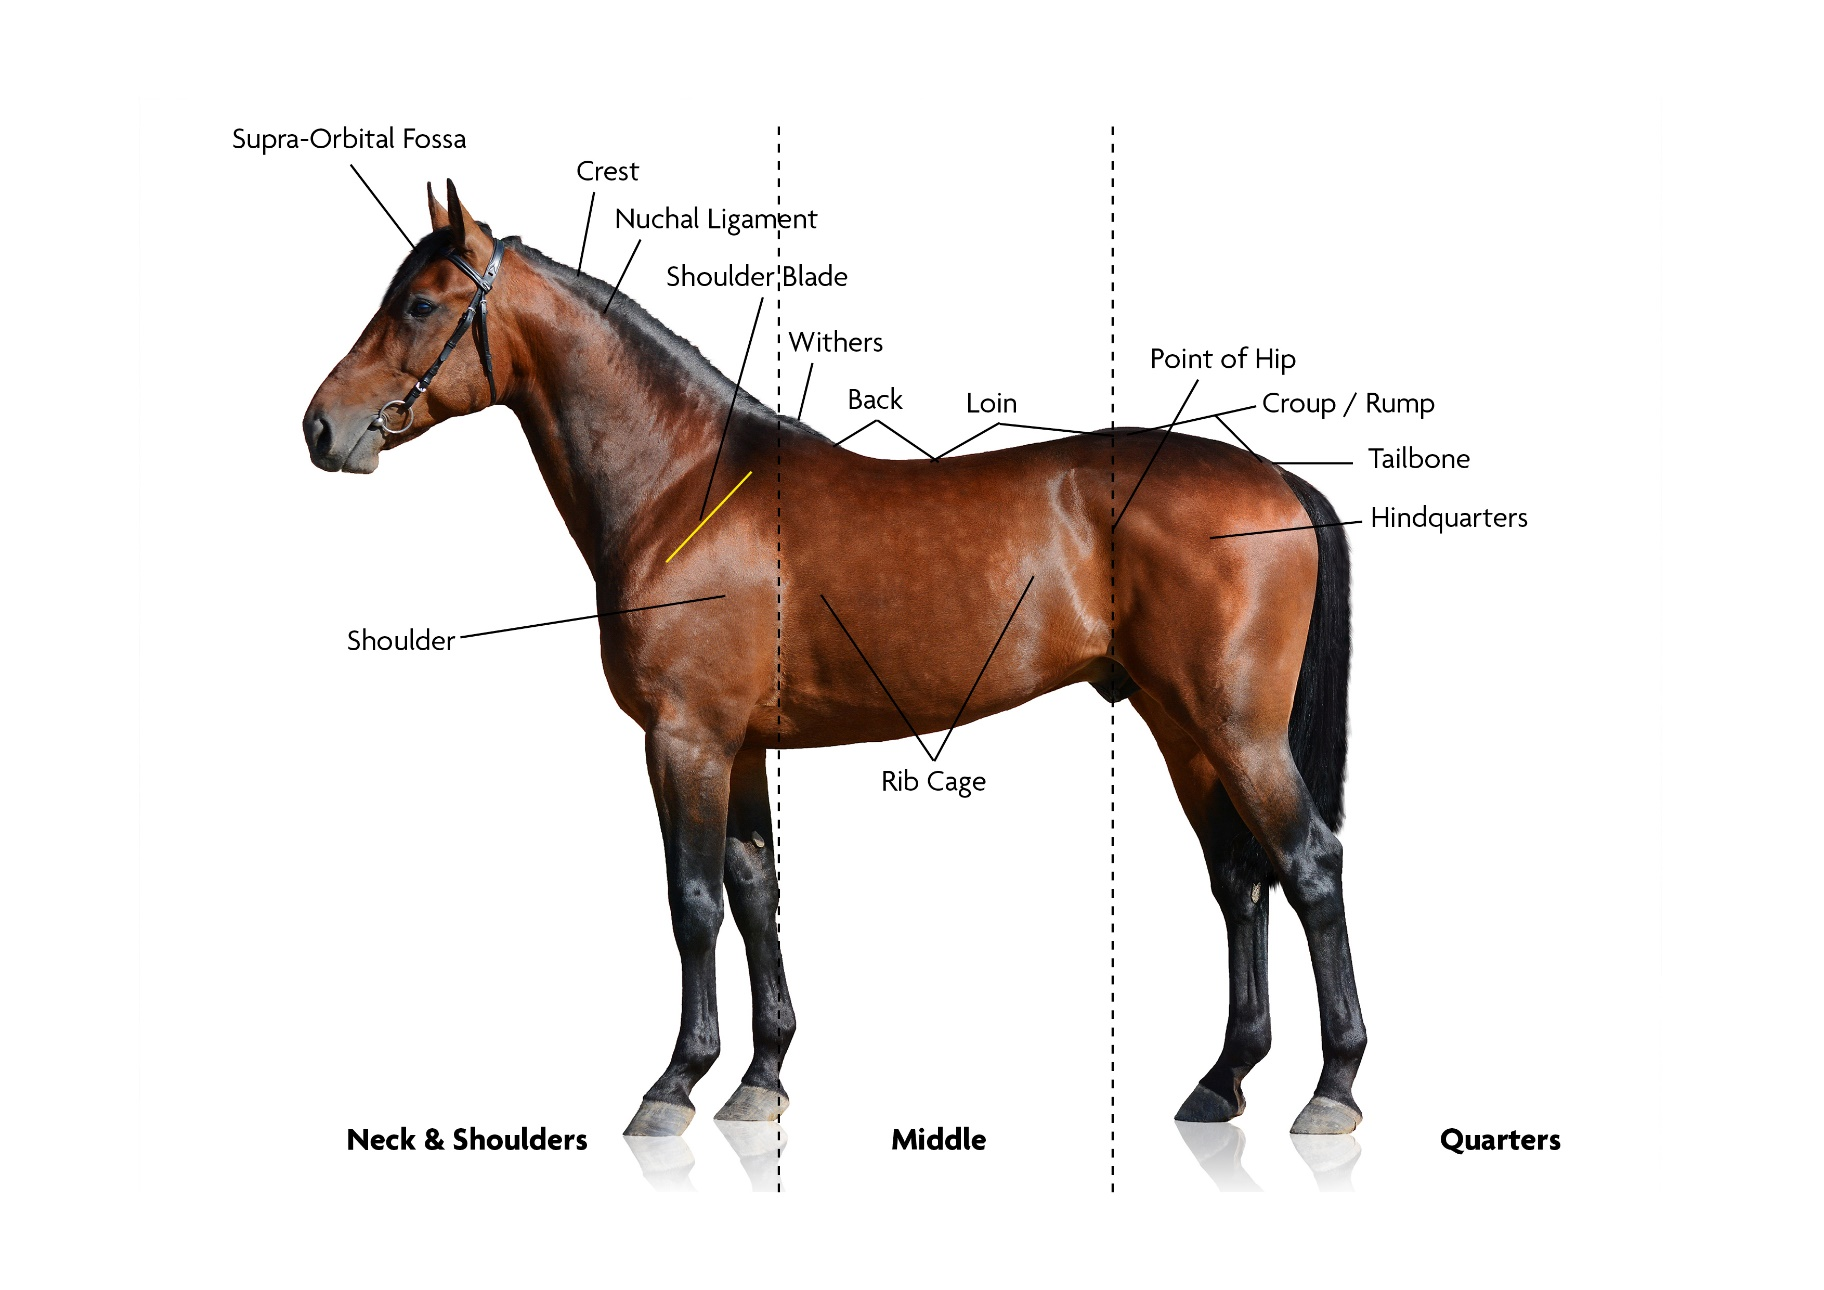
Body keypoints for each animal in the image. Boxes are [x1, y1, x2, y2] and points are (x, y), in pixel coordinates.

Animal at [302, 182, 1367, 1139]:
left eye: (420, 304)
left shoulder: (682, 739)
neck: (682, 486)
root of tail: (1281, 481)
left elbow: (693, 902)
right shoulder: (735, 746)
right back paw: (1221, 1082)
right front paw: (760, 1079)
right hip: (1181, 728)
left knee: (1309, 866)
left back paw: (1332, 1090)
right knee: (1239, 880)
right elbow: (754, 893)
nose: (321, 427)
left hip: (1236, 731)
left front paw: (673, 1085)